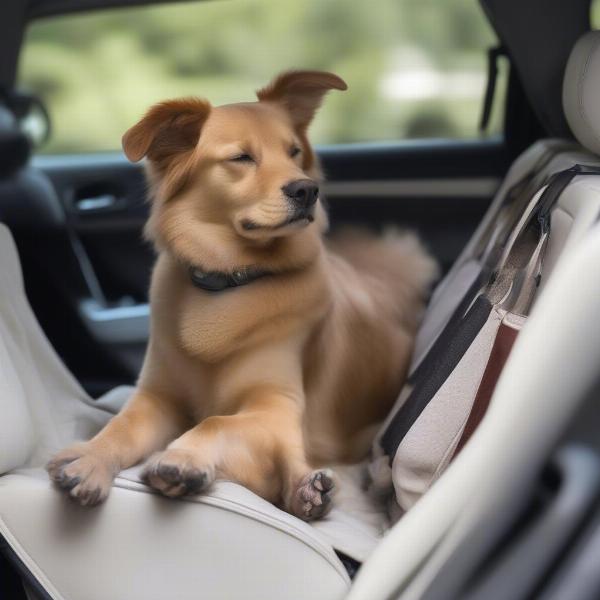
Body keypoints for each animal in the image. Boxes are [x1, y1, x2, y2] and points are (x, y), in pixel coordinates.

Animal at [47, 70, 438, 520]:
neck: (228, 280)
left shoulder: (276, 407)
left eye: (294, 152)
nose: (307, 190)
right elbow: (121, 427)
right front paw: (89, 459)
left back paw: (309, 491)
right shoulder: (156, 398)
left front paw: (181, 459)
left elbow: (216, 422)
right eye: (241, 158)